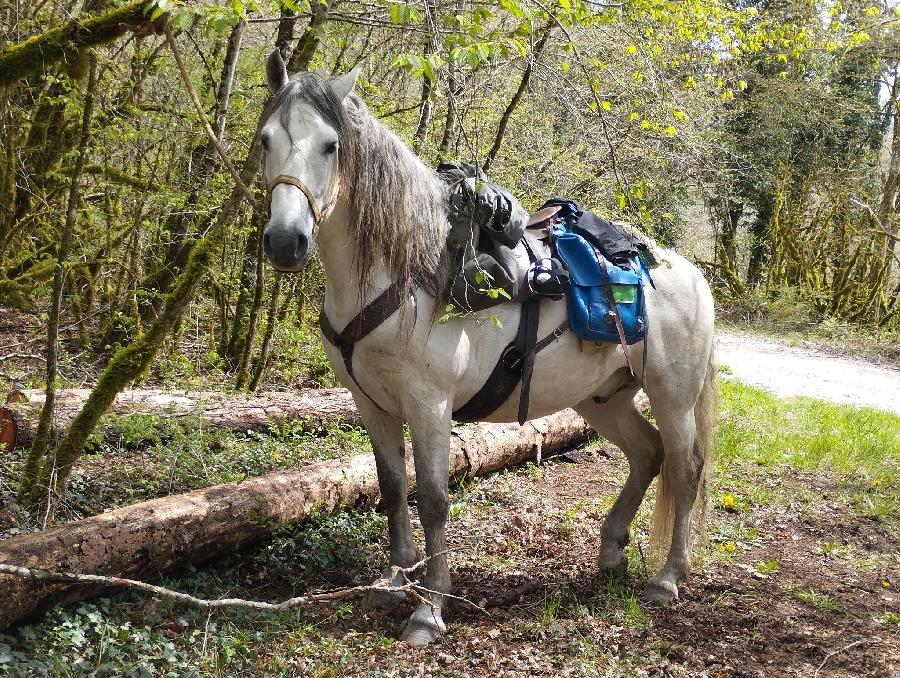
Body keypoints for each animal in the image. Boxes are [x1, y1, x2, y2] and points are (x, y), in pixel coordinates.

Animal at [260, 54, 716, 648]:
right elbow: (393, 488)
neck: (408, 272)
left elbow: (432, 497)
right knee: (647, 453)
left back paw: (667, 579)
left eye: (330, 146)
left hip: (673, 396)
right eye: (265, 139)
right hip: (603, 399)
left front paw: (429, 608)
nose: (285, 241)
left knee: (685, 469)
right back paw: (612, 550)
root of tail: (689, 273)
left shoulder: (429, 405)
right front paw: (393, 580)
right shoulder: (372, 405)